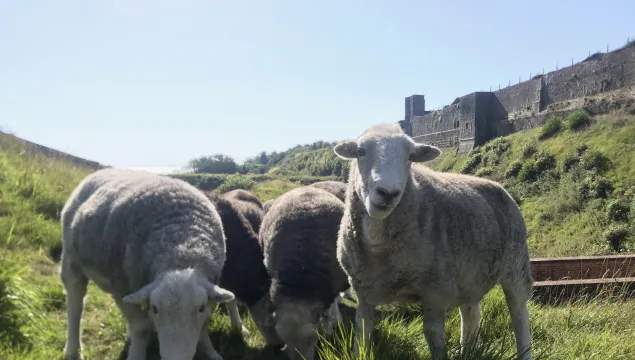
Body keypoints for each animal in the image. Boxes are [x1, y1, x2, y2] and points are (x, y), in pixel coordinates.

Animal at [60, 168, 236, 360]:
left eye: (201, 308)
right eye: (155, 309)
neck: (182, 249)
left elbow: (203, 326)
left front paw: (210, 352)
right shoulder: (122, 289)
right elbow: (141, 329)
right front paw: (136, 354)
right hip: (72, 259)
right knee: (75, 301)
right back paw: (73, 349)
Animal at [336, 124, 536, 360]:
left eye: (410, 157)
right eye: (361, 151)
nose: (388, 193)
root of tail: (498, 185)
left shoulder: (436, 291)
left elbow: (433, 335)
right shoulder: (362, 291)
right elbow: (362, 330)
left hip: (516, 265)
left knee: (519, 313)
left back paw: (523, 350)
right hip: (470, 276)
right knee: (471, 313)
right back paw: (466, 350)